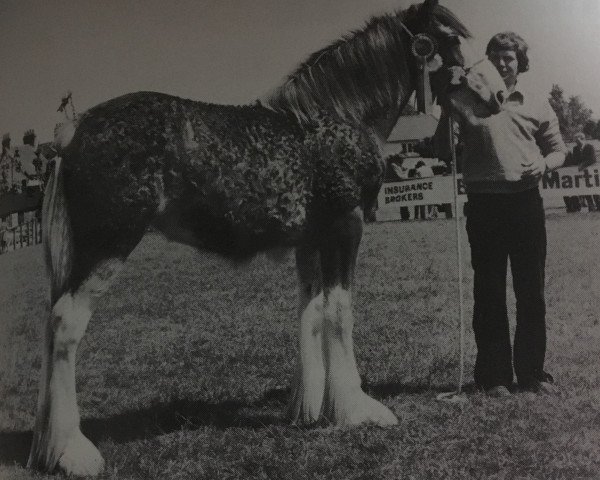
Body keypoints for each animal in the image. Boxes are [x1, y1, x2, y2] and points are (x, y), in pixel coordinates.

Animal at [27, 0, 496, 474]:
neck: (337, 117)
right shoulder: (345, 228)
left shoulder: (310, 242)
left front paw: (307, 409)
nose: (494, 98)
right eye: (449, 41)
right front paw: (358, 410)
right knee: (64, 325)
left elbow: (311, 312)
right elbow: (339, 312)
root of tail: (74, 131)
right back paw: (73, 452)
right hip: (107, 245)